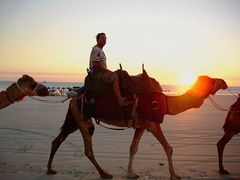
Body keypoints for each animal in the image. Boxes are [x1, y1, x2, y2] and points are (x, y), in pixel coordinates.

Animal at [46, 73, 227, 180]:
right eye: (211, 80)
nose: (224, 82)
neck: (166, 102)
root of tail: (73, 97)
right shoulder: (153, 123)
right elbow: (168, 148)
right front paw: (174, 175)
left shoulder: (141, 125)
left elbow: (133, 148)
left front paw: (131, 173)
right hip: (83, 119)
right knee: (88, 148)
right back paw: (105, 174)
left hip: (75, 119)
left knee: (57, 140)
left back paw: (50, 169)